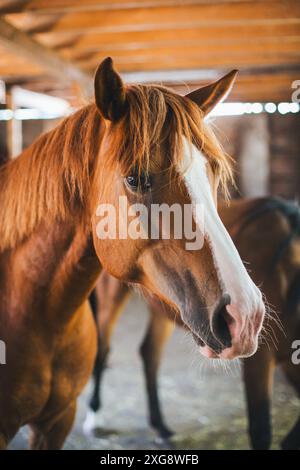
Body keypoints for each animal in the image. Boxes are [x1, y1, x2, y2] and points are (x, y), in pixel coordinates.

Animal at [85, 196, 300, 450]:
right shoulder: (260, 361)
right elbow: (261, 431)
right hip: (110, 292)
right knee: (103, 347)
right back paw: (94, 415)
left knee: (150, 353)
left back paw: (160, 426)